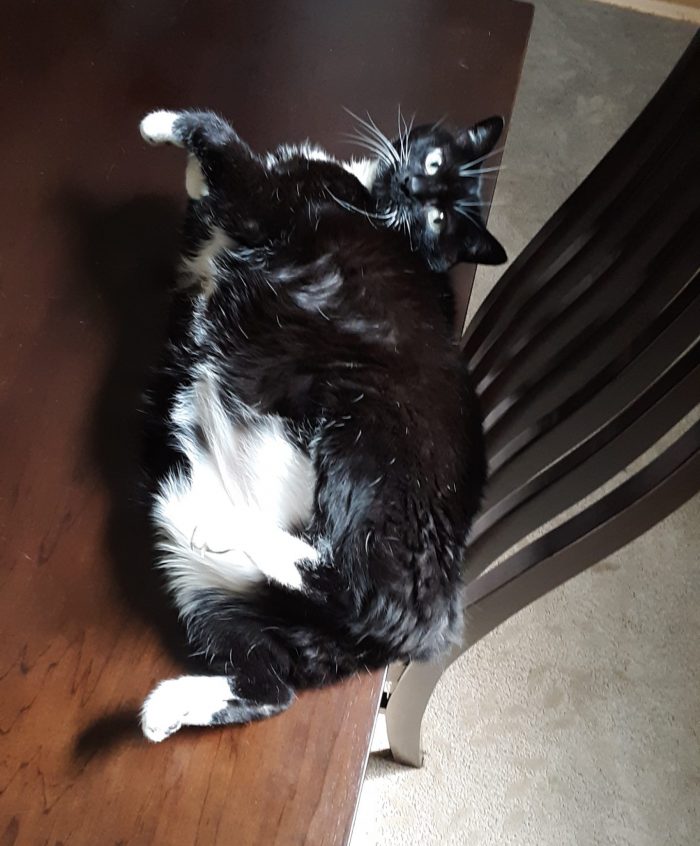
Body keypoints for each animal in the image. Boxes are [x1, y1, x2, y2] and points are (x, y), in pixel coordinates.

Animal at [135, 107, 504, 744]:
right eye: (435, 163)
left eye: (438, 219)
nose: (414, 186)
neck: (373, 196)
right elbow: (207, 198)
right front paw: (193, 175)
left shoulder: (270, 200)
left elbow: (222, 142)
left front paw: (162, 126)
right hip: (210, 589)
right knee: (273, 686)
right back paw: (169, 708)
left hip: (364, 440)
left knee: (364, 589)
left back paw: (229, 531)